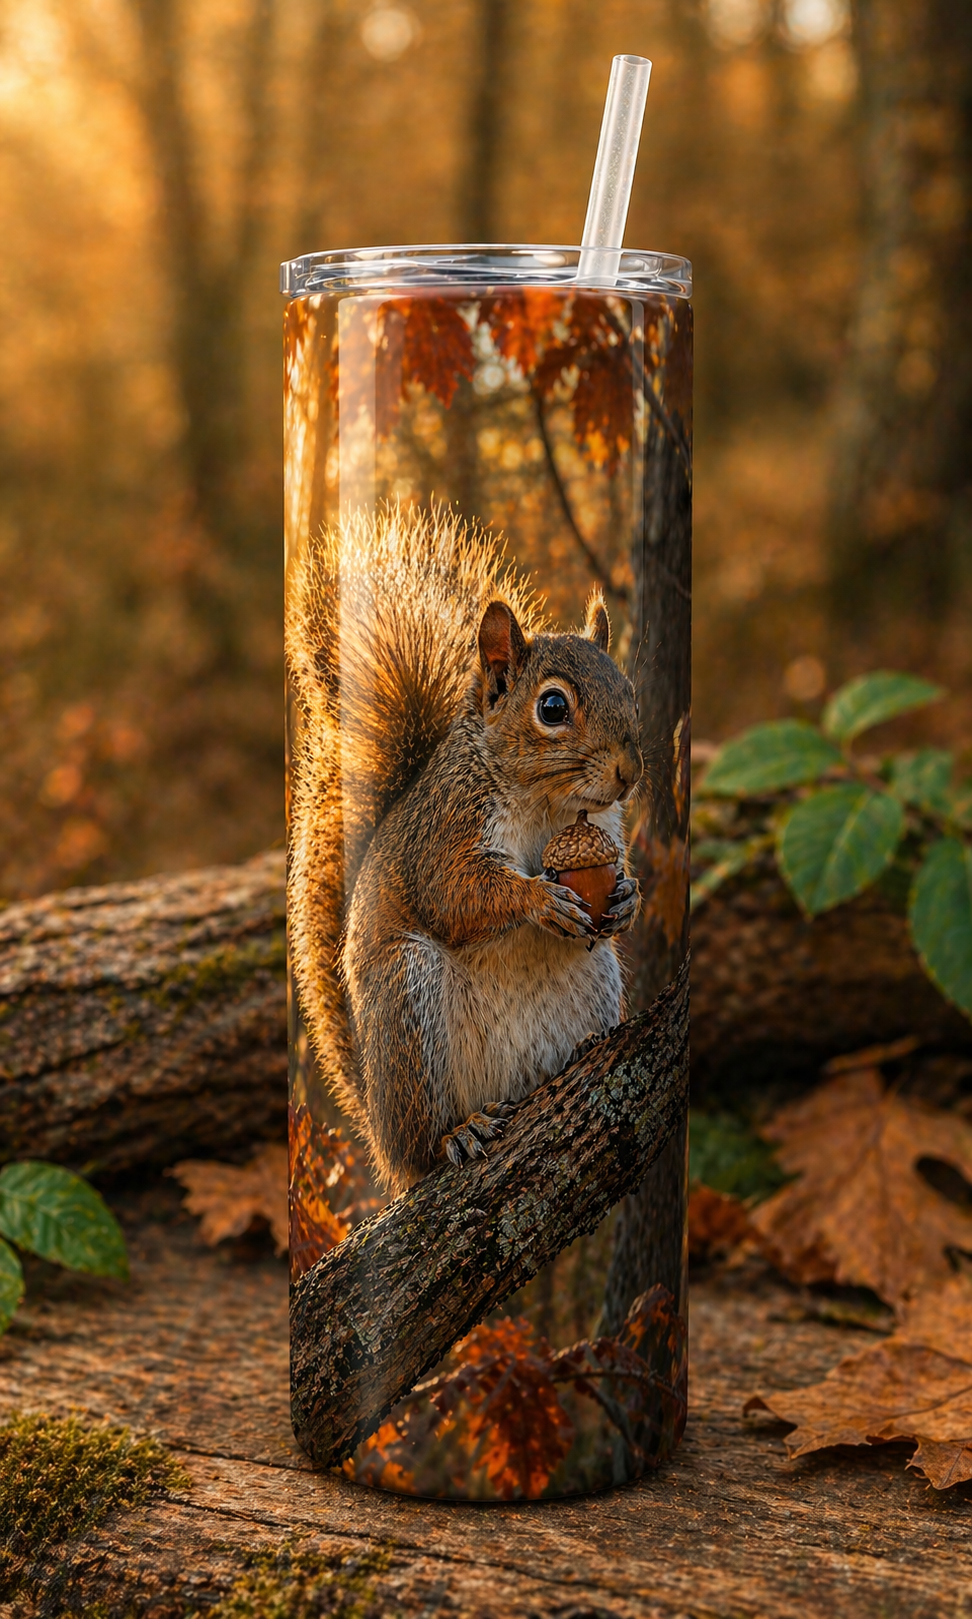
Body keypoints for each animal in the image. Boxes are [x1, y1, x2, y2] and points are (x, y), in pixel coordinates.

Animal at [286, 502, 644, 1196]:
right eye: (552, 706)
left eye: (630, 691)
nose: (628, 773)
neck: (545, 805)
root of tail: (381, 1135)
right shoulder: (445, 829)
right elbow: (455, 895)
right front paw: (537, 900)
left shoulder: (605, 829)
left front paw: (627, 898)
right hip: (407, 1003)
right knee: (424, 1144)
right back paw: (457, 1133)